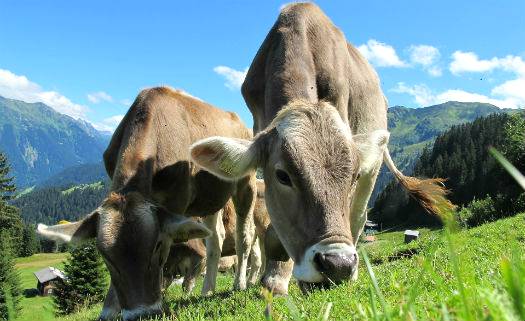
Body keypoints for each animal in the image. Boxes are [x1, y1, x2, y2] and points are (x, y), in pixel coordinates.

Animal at [35, 86, 256, 318]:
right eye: (105, 257)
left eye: (157, 246)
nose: (142, 314)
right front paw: (109, 309)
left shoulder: (176, 204)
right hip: (210, 198)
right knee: (216, 238)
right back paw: (208, 290)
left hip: (246, 183)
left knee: (245, 234)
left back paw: (240, 283)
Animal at [190, 3, 452, 292]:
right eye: (282, 176)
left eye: (353, 176)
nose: (338, 264)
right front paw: (275, 278)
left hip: (373, 167)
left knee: (359, 216)